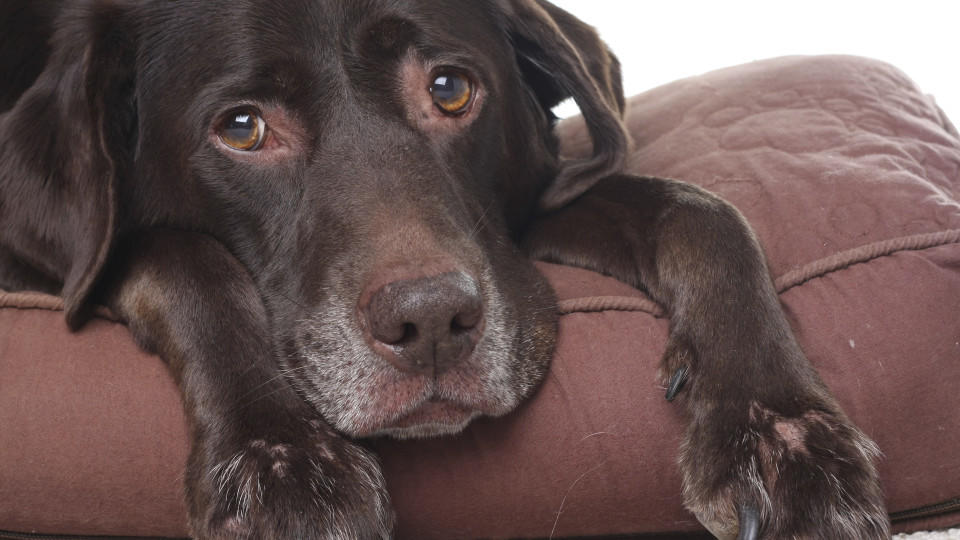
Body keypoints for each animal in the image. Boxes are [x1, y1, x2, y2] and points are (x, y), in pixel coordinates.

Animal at [0, 1, 888, 540]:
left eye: (452, 88)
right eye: (243, 129)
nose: (428, 322)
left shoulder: (528, 211)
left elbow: (702, 210)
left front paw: (781, 431)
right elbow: (180, 253)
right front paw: (280, 458)